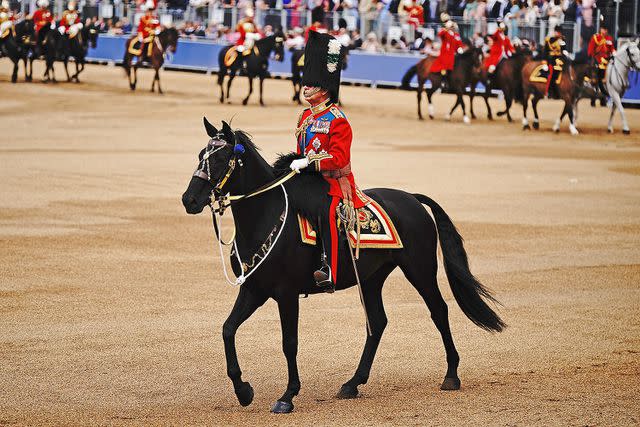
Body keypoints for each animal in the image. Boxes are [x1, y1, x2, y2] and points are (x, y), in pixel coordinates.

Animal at [181, 119, 504, 414]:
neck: (263, 216)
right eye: (200, 154)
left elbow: (289, 342)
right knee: (378, 322)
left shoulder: (286, 293)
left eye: (220, 158)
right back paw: (353, 383)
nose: (189, 199)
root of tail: (411, 198)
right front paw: (243, 391)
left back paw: (451, 375)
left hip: (420, 270)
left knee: (439, 311)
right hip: (372, 278)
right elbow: (228, 329)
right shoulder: (254, 289)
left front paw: (288, 395)